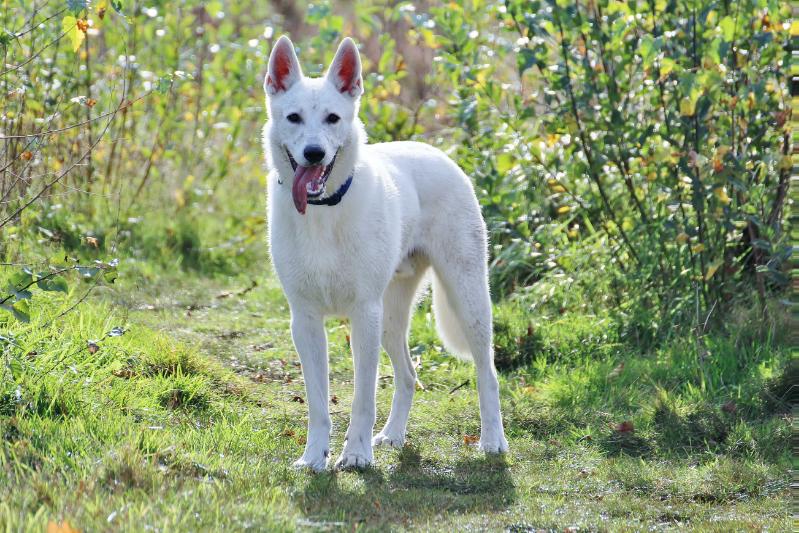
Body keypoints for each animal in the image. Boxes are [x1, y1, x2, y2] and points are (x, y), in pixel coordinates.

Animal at [266, 36, 510, 470]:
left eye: (332, 118)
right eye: (293, 117)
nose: (313, 153)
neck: (324, 210)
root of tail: (438, 152)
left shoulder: (364, 314)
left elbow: (363, 399)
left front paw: (356, 454)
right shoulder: (305, 321)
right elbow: (317, 404)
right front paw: (314, 458)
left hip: (467, 300)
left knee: (488, 371)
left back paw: (492, 440)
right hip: (391, 319)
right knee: (409, 376)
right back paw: (394, 435)